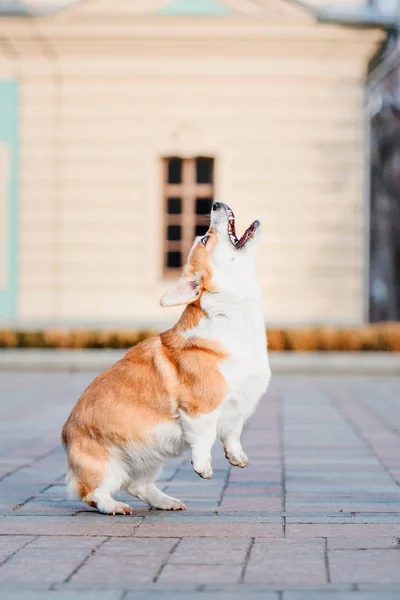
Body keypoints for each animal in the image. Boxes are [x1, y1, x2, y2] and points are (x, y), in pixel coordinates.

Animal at [61, 204, 270, 512]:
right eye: (204, 239)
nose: (215, 205)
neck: (231, 315)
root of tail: (65, 432)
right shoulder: (200, 408)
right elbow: (205, 437)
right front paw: (203, 467)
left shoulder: (237, 405)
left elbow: (232, 434)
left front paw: (237, 458)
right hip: (107, 466)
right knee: (93, 493)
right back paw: (114, 506)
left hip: (151, 456)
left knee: (138, 486)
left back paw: (166, 501)